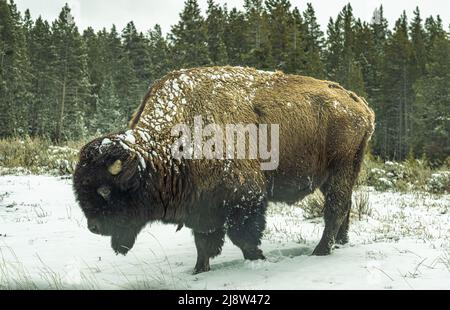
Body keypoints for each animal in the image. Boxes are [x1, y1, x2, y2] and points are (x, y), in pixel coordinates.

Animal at [73, 66, 376, 274]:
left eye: (106, 191)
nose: (94, 227)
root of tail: (360, 105)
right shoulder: (202, 207)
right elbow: (204, 243)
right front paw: (198, 270)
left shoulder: (245, 198)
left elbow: (242, 237)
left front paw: (259, 259)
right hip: (337, 175)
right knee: (345, 205)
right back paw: (340, 242)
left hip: (340, 170)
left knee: (335, 207)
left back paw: (321, 251)